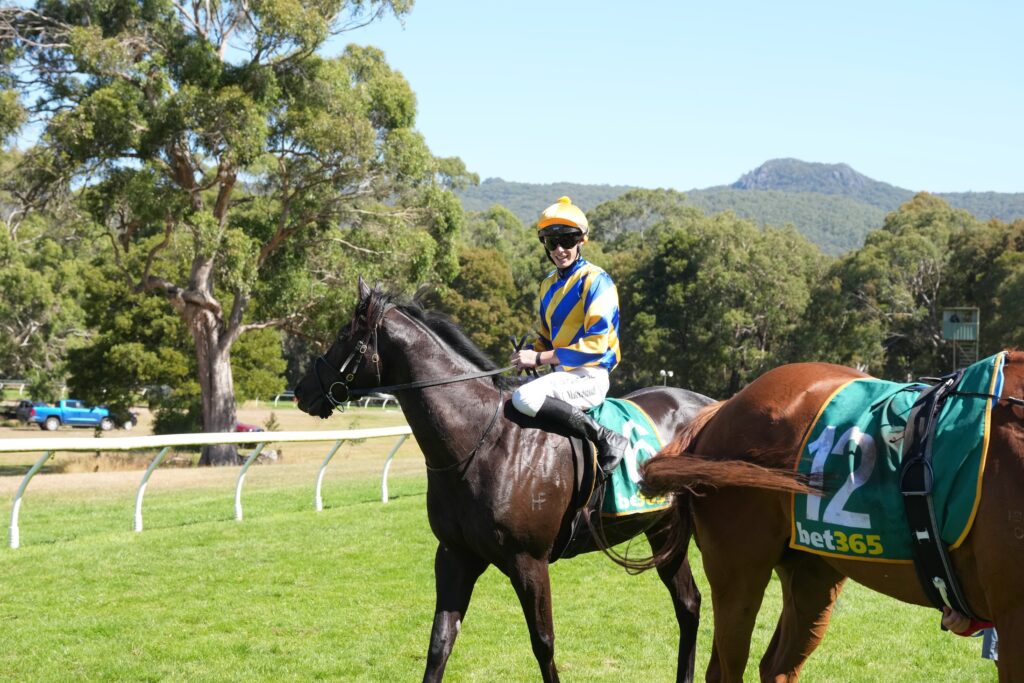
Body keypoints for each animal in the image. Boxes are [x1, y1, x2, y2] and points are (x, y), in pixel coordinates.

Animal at [292, 279, 714, 682]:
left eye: (343, 335)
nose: (300, 390)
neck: (480, 439)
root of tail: (710, 403)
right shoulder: (455, 555)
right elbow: (440, 642)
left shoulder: (528, 561)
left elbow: (543, 643)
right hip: (663, 526)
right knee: (689, 604)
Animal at [641, 355, 1024, 682]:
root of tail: (720, 409)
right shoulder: (1011, 618)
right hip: (738, 571)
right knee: (726, 669)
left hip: (812, 571)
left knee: (777, 668)